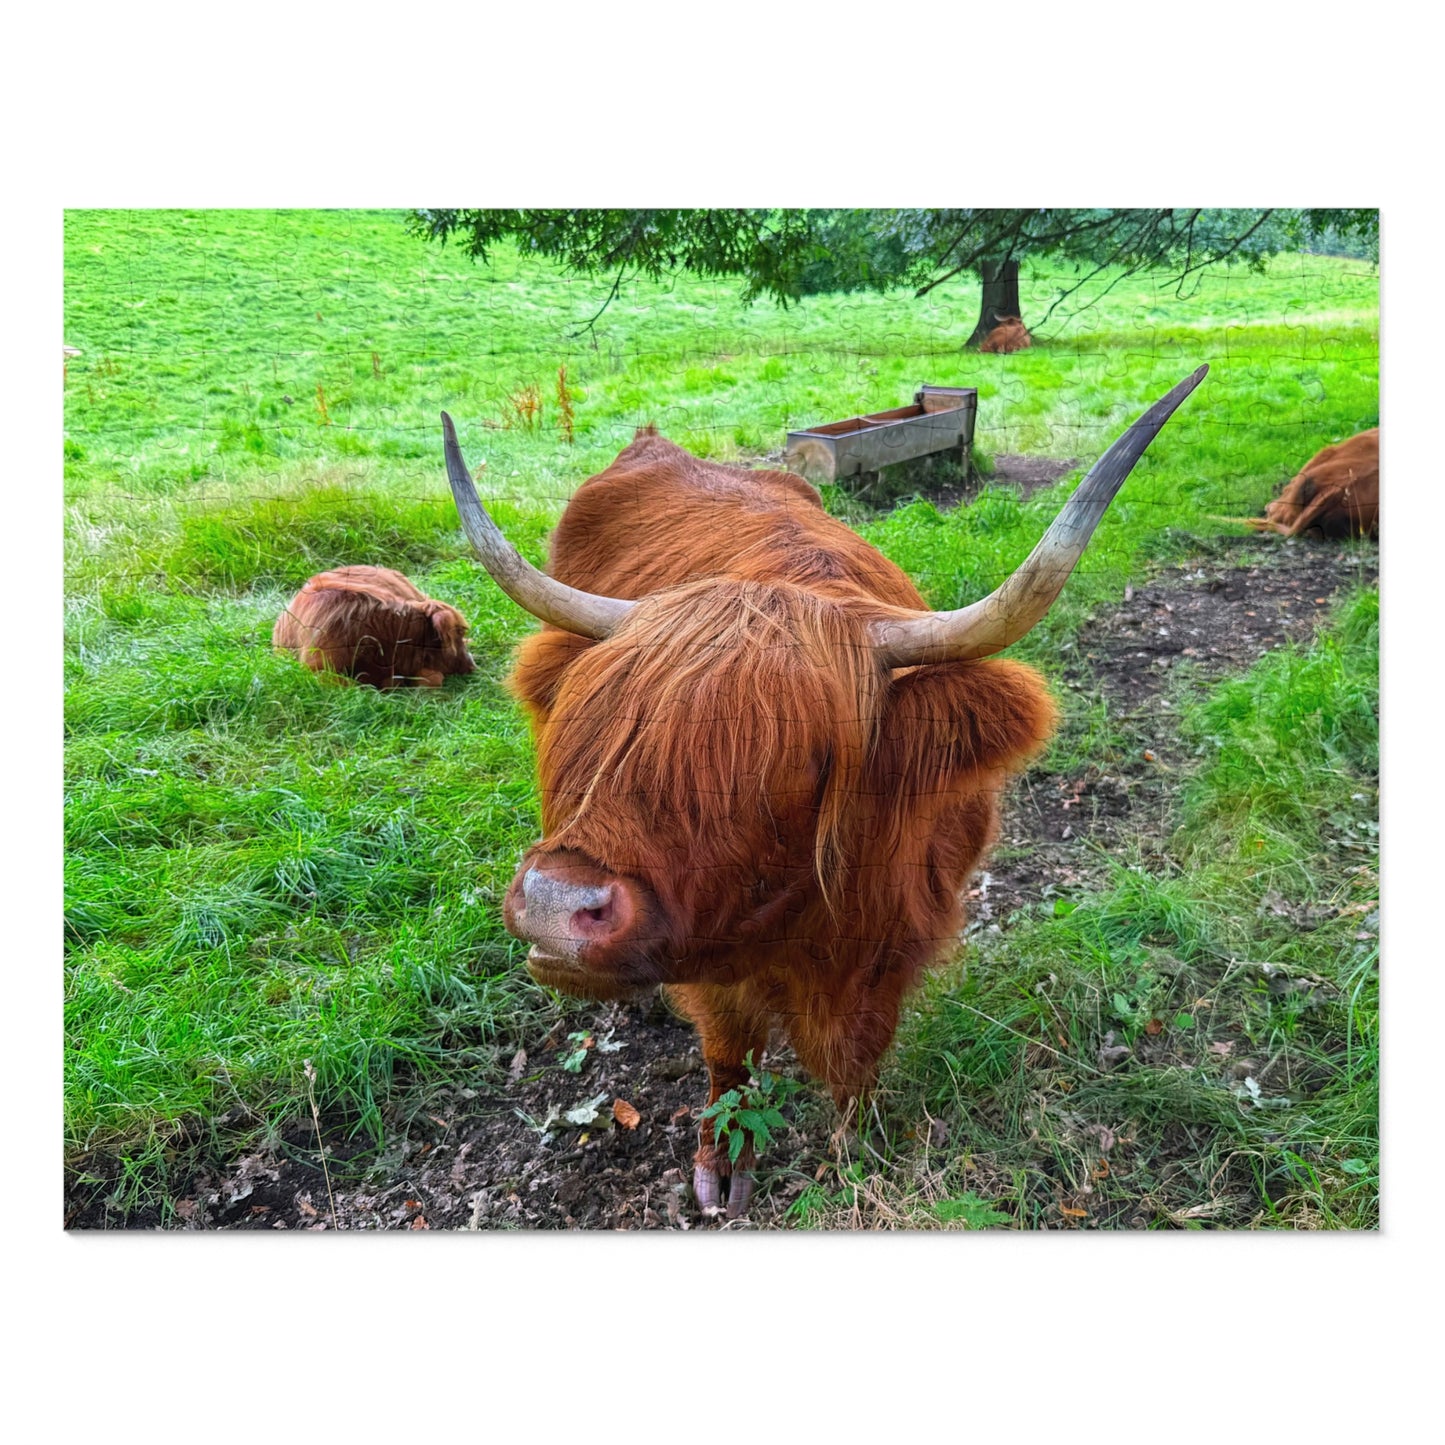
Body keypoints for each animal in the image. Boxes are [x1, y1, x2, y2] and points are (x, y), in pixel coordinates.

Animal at [440, 365, 1207, 1218]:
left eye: (798, 758)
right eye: (597, 724)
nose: (554, 903)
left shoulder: (897, 938)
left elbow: (858, 1055)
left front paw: (856, 1145)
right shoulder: (713, 959)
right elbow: (727, 1051)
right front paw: (720, 1163)